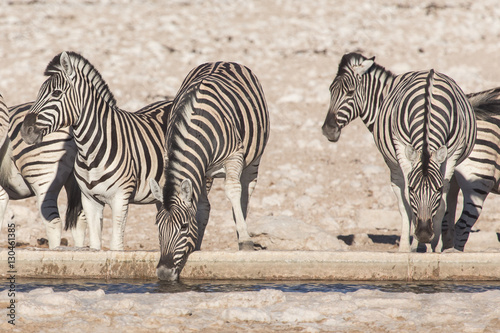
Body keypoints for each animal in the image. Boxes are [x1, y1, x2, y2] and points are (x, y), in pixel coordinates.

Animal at [20, 51, 173, 249]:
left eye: (56, 93)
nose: (25, 131)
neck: (90, 151)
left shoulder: (120, 198)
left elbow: (116, 246)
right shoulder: (89, 200)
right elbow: (94, 245)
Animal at [149, 61, 270, 278]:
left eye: (184, 227)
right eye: (158, 226)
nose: (163, 273)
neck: (195, 125)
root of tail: (224, 61)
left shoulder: (234, 157)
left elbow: (233, 191)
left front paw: (245, 240)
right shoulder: (191, 164)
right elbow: (202, 206)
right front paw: (196, 244)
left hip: (254, 158)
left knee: (245, 193)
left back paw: (242, 232)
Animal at [322, 53, 474, 252]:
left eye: (350, 92)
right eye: (330, 91)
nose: (328, 130)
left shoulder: (451, 154)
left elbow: (440, 198)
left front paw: (432, 244)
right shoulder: (401, 153)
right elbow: (408, 202)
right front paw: (413, 245)